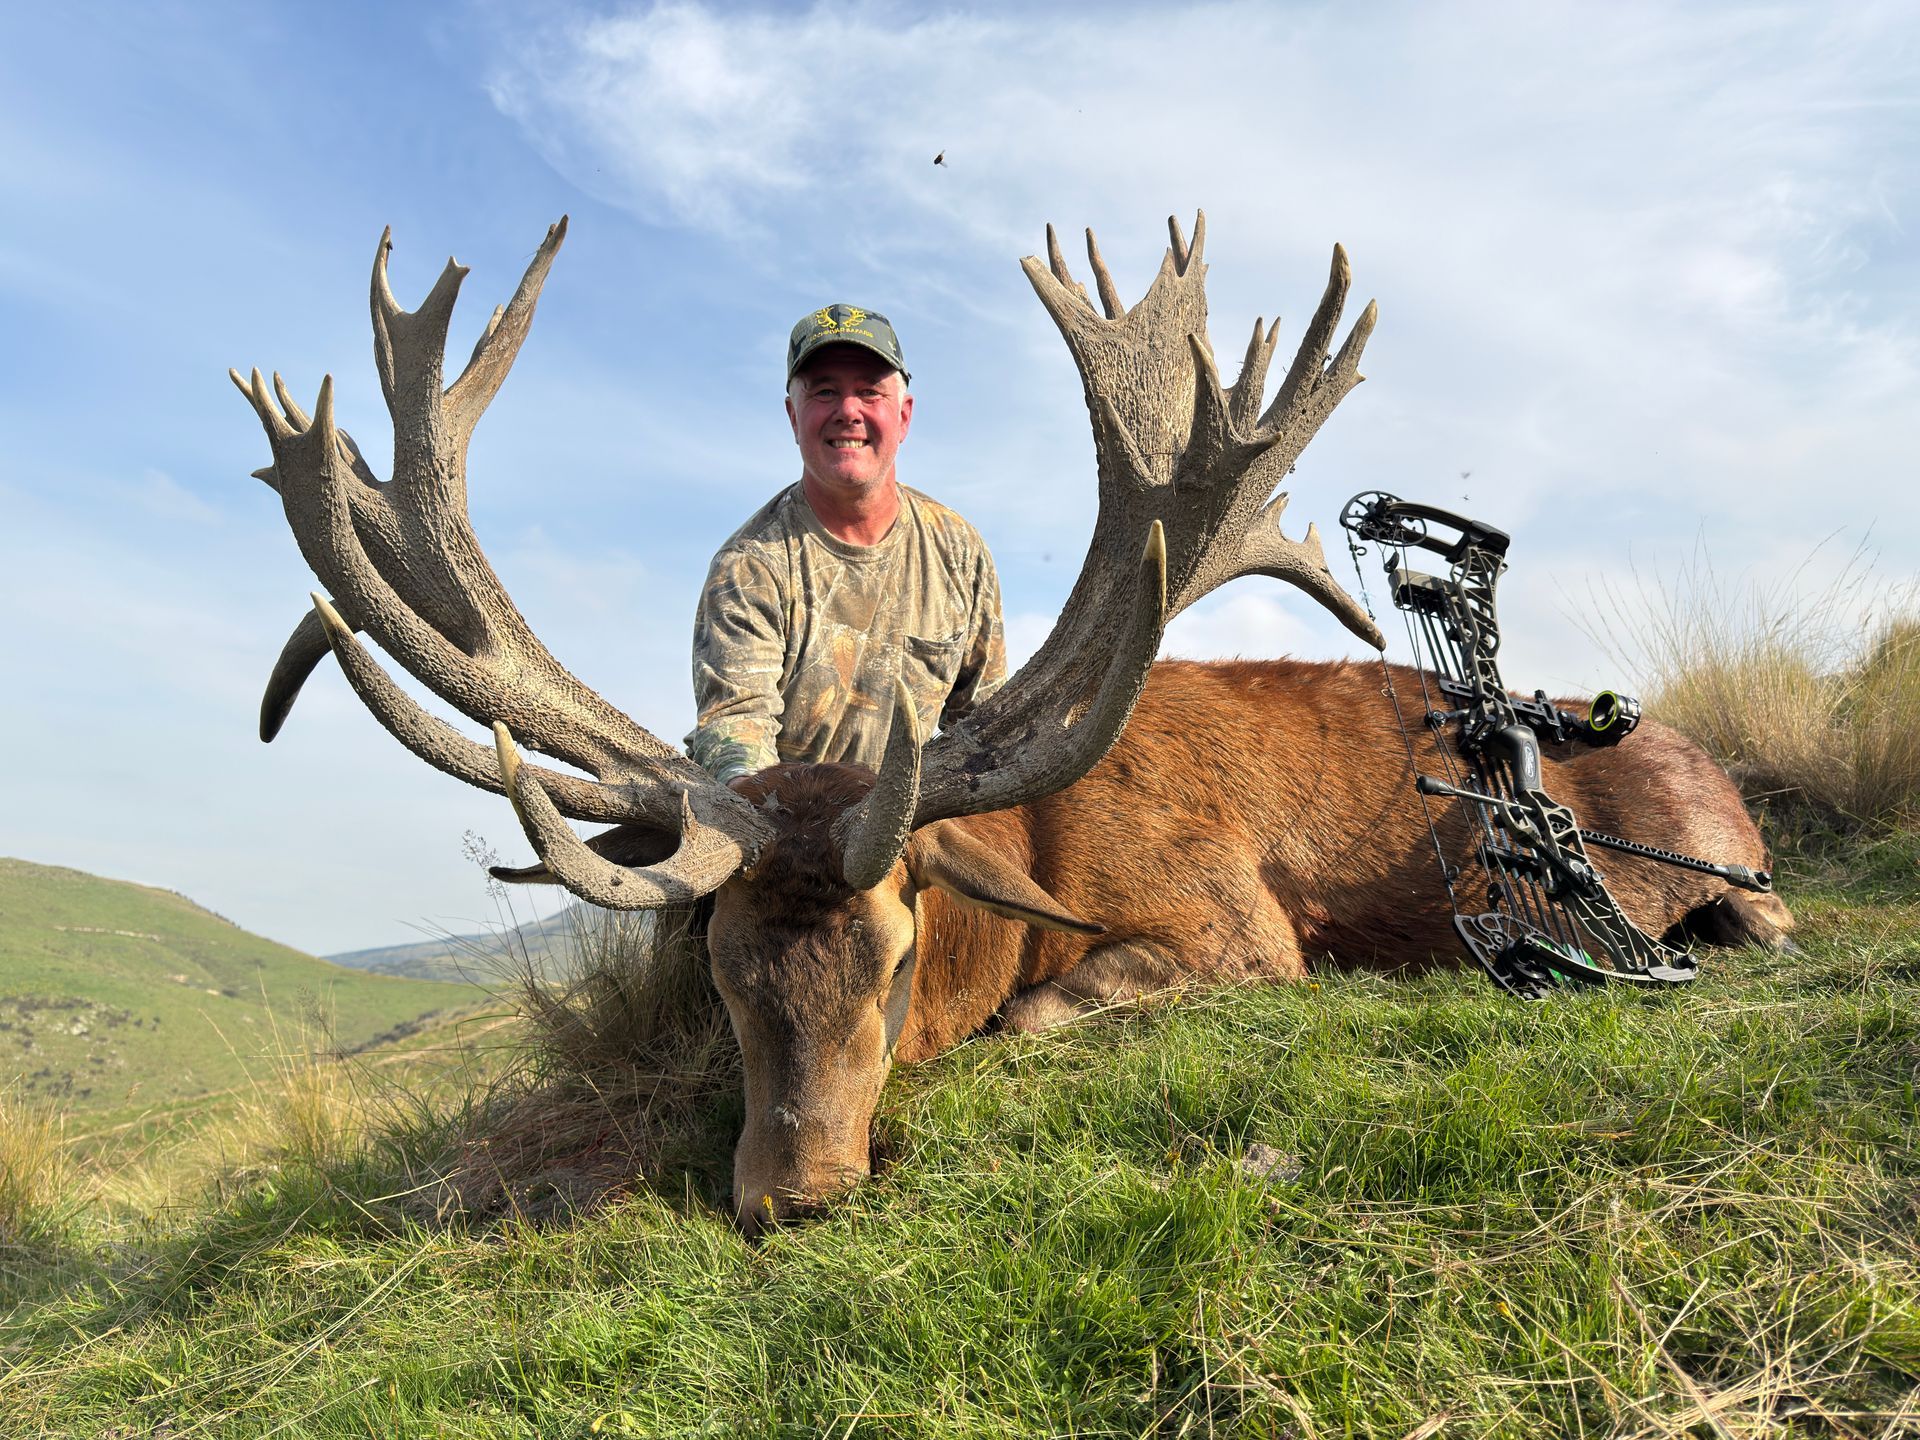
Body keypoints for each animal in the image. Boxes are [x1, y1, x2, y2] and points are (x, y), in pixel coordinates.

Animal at [232, 214, 1793, 1236]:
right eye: (722, 970)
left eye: (898, 956)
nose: (798, 1197)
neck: (1028, 862)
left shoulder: (1238, 928)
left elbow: (1039, 1014)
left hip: (1728, 870)